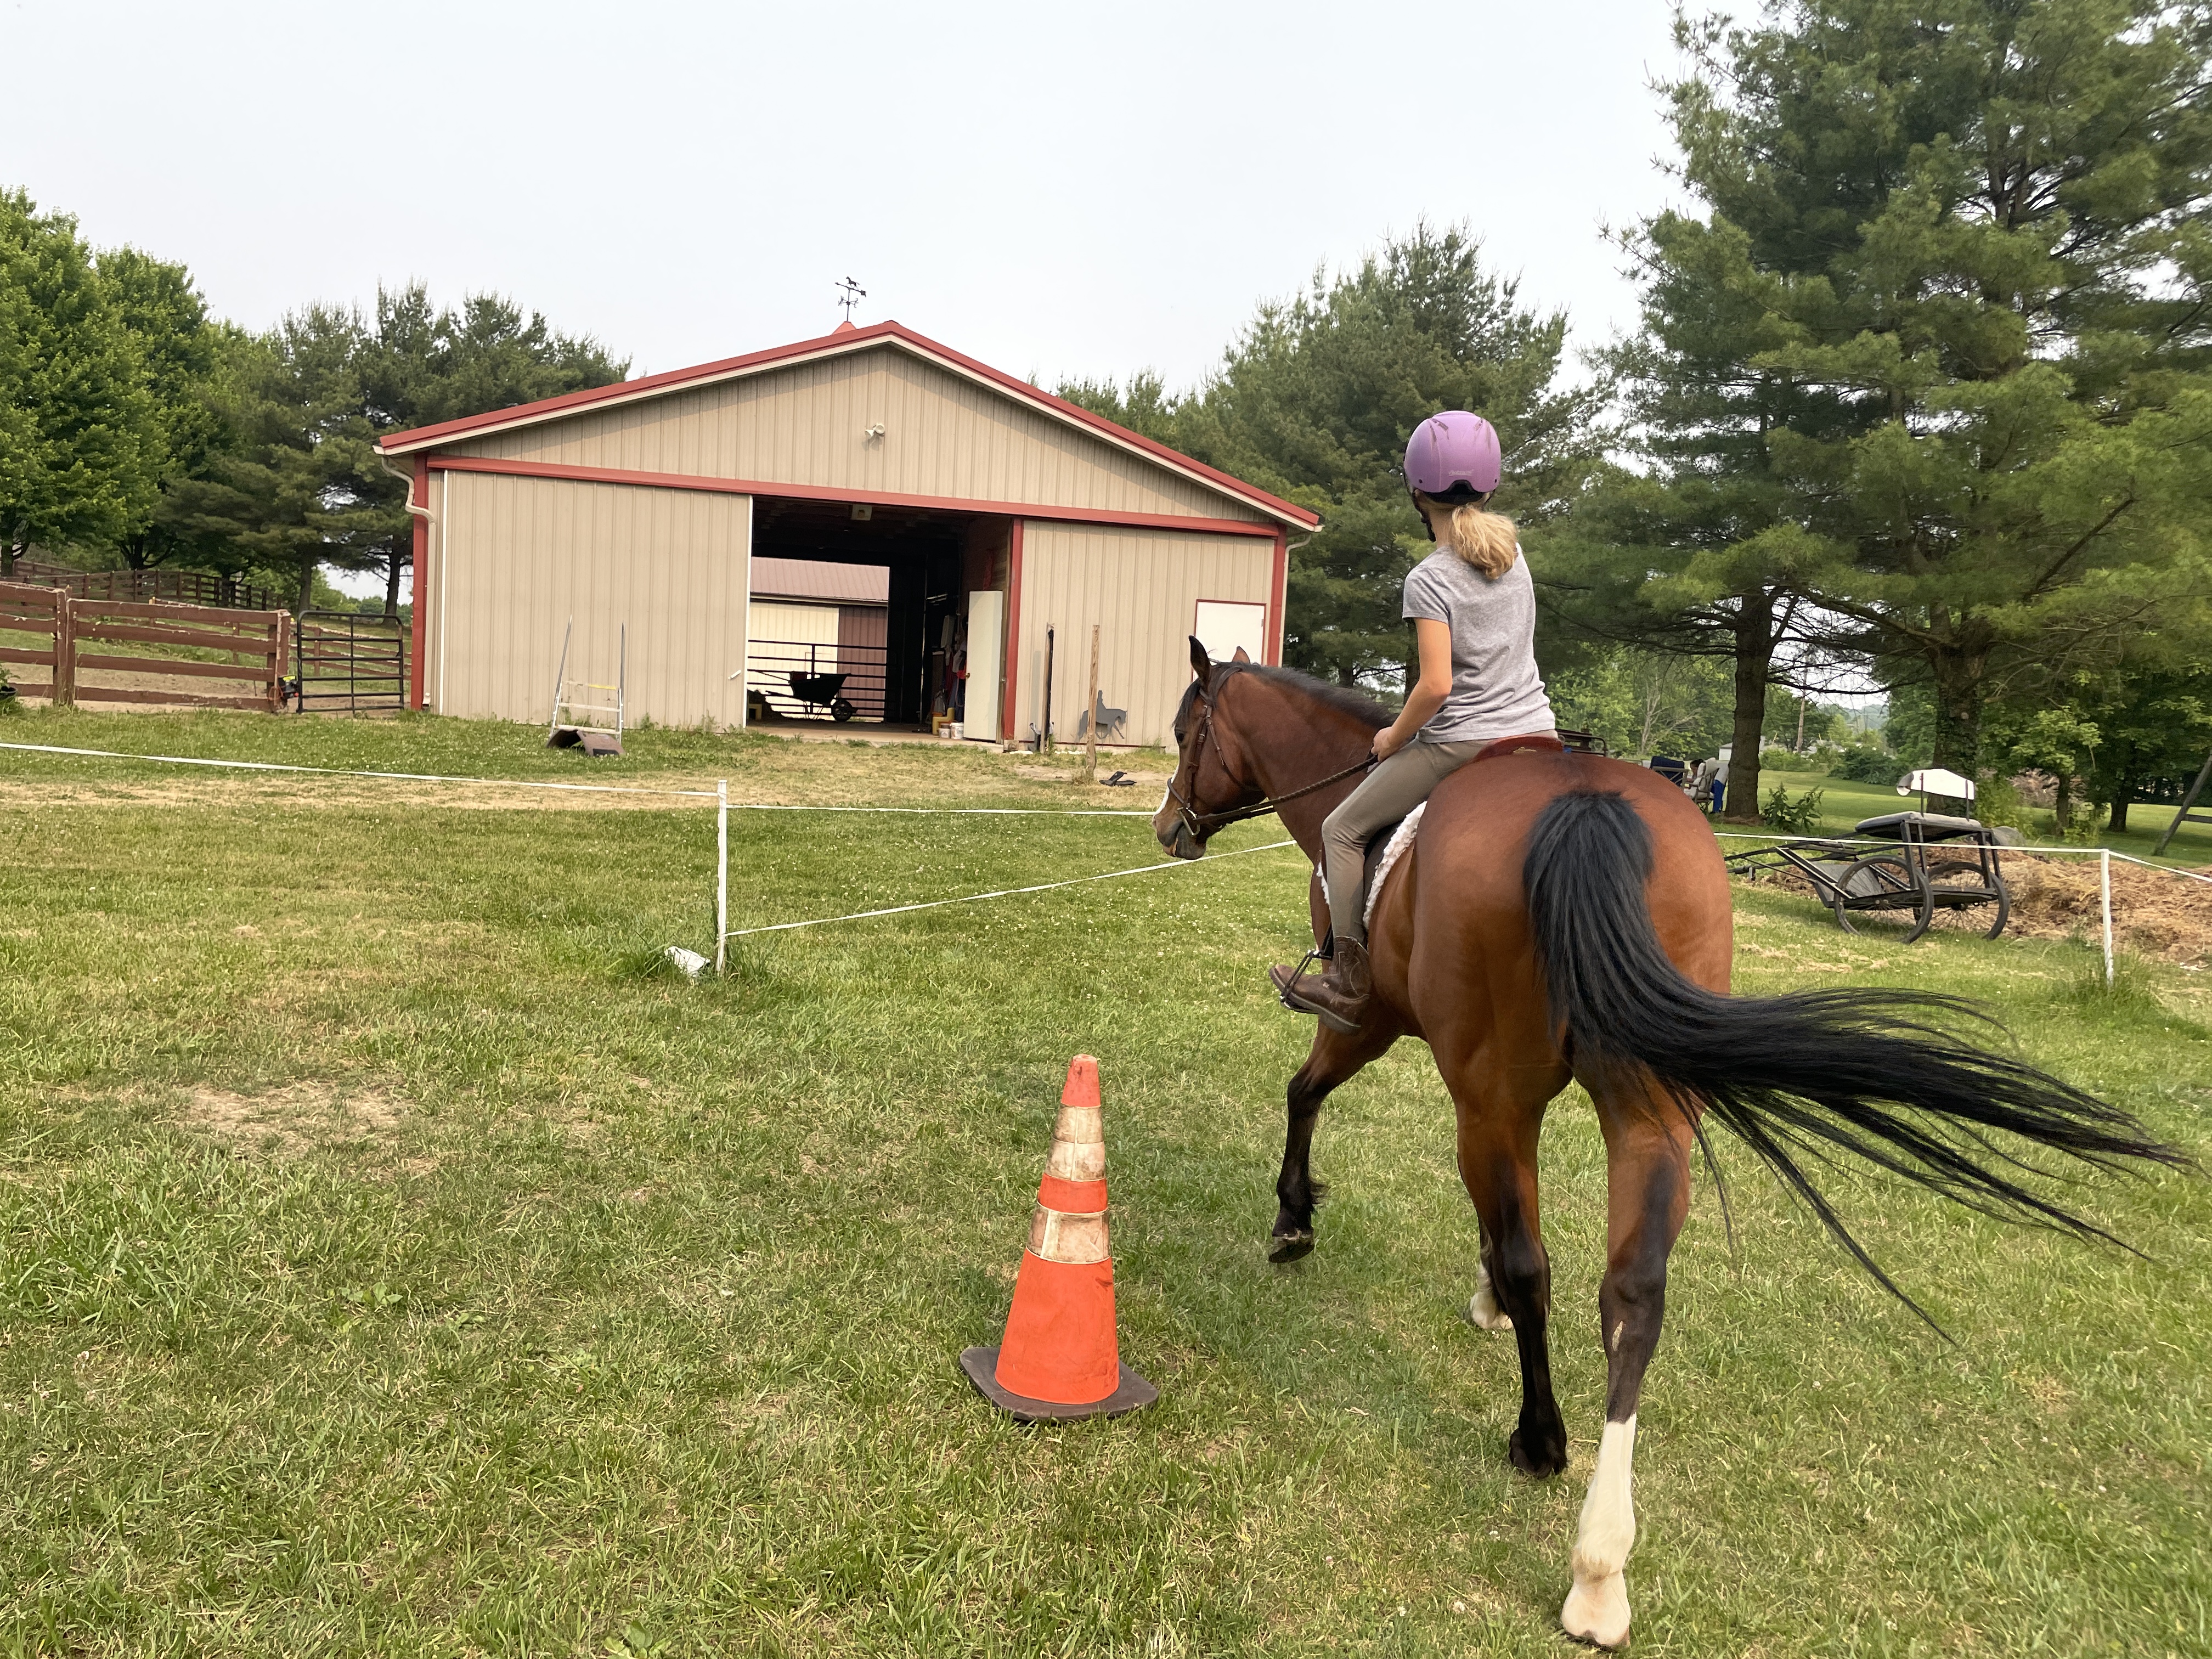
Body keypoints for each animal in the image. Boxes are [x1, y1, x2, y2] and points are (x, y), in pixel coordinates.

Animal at [1159, 641, 2176, 1654]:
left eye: (1184, 729)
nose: (1171, 825)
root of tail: (1585, 806)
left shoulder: (1371, 1018)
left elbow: (1306, 1095)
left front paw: (1294, 1221)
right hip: (1648, 1115)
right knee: (1634, 1294)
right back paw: (1599, 1570)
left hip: (1494, 1098)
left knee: (1538, 1265)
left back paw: (1542, 1443)